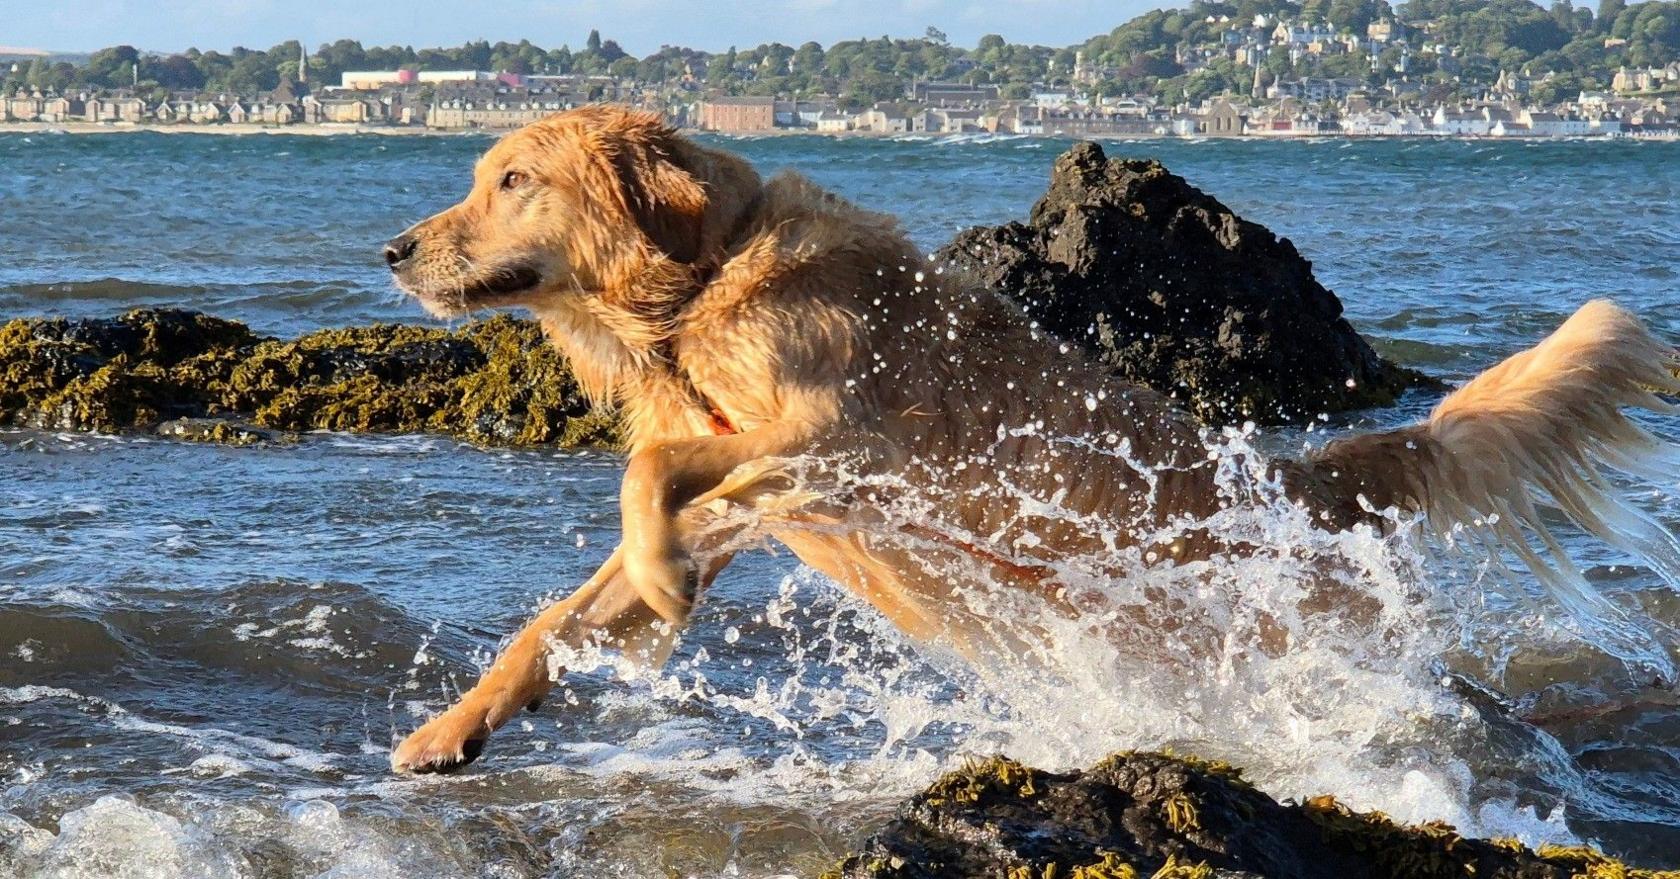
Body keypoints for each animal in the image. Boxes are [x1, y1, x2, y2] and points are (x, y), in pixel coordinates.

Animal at [381, 106, 1680, 773]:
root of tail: (1295, 485)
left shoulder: (843, 436)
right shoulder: (764, 482)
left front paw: (659, 575)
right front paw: (452, 728)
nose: (391, 250)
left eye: (511, 180)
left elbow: (650, 475)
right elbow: (557, 617)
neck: (699, 288)